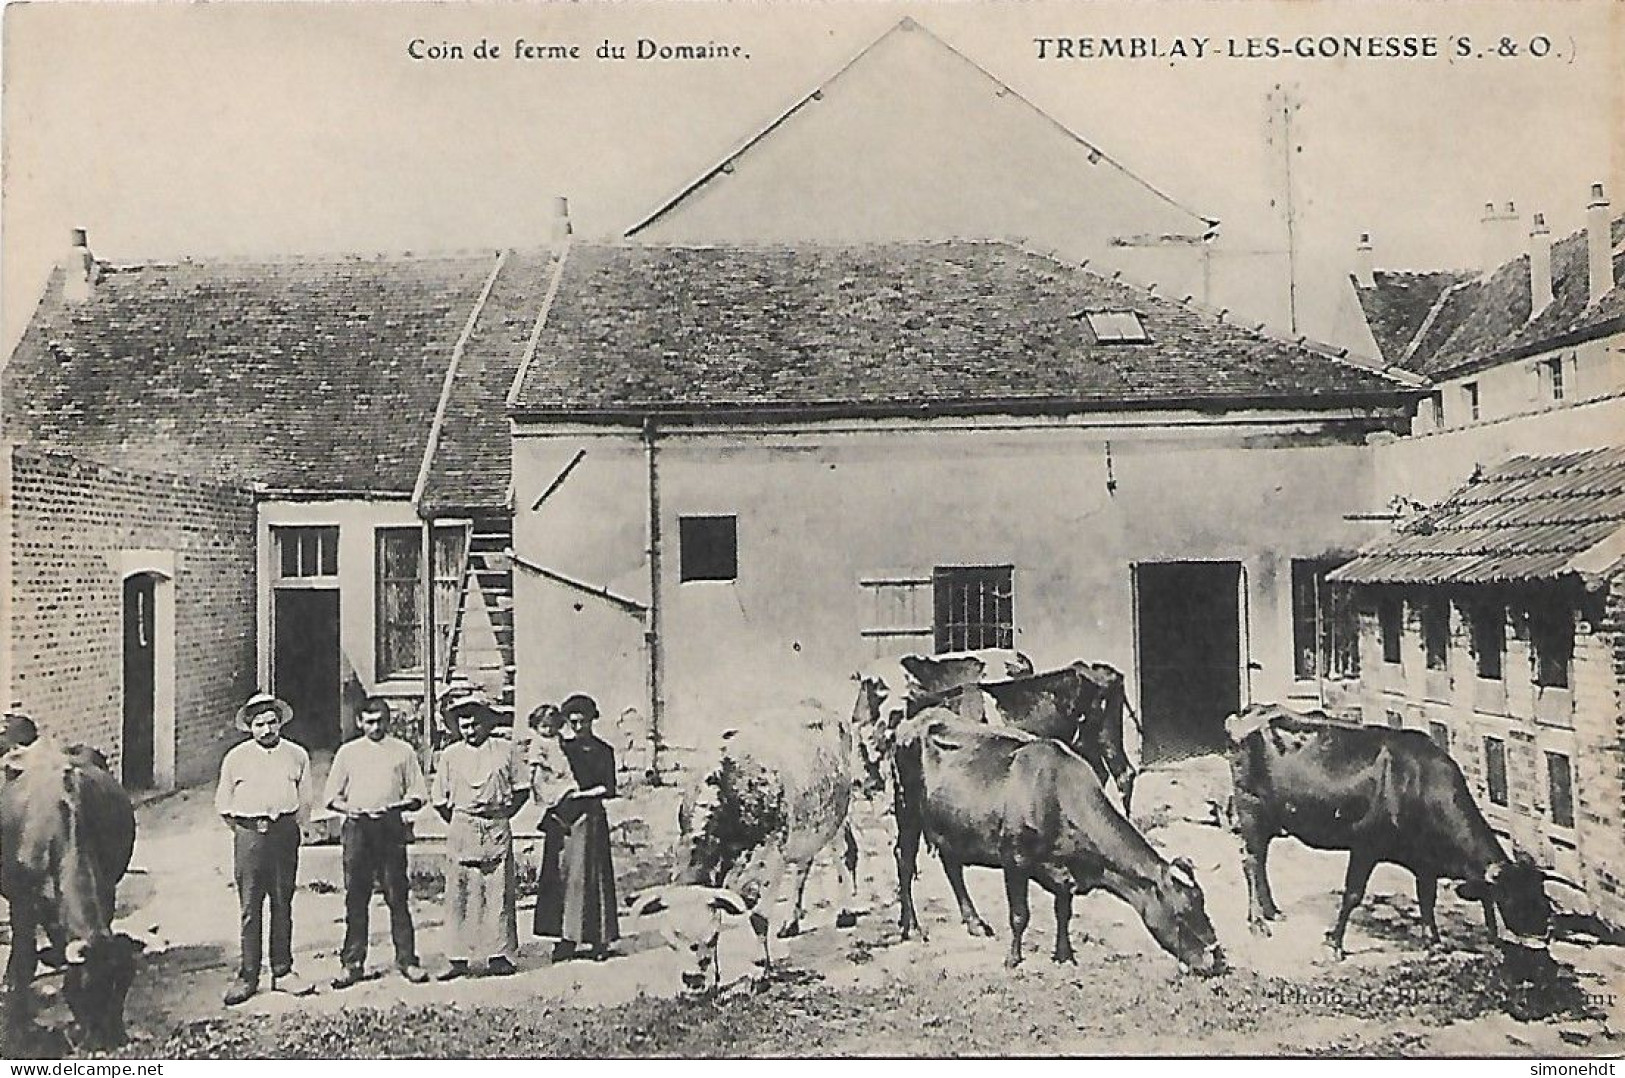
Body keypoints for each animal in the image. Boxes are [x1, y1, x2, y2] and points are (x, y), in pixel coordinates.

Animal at [1, 741, 141, 1047]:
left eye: (124, 986)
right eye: (86, 988)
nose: (111, 1041)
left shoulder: (106, 890)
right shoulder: (22, 900)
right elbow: (25, 956)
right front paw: (19, 1026)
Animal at [627, 695, 871, 988]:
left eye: (708, 937)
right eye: (672, 942)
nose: (692, 980)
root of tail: (818, 706)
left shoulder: (773, 863)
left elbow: (758, 918)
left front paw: (761, 971)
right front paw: (715, 979)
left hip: (836, 814)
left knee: (844, 853)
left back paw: (845, 912)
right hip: (804, 830)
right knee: (803, 867)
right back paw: (791, 922)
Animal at [864, 705, 1222, 975]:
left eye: (1204, 906)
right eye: (1182, 914)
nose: (1218, 960)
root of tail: (915, 719)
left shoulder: (1064, 871)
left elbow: (1063, 912)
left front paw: (1065, 955)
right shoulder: (1015, 859)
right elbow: (1020, 915)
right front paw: (1013, 959)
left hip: (952, 822)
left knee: (951, 863)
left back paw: (975, 923)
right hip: (907, 809)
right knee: (904, 860)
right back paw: (912, 927)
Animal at [1222, 705, 1553, 956]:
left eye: (1542, 896)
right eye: (1511, 899)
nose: (1544, 933)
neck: (1419, 785)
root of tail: (1249, 712)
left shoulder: (1426, 862)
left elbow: (1427, 898)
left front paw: (1433, 942)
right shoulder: (1365, 845)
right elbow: (1353, 894)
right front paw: (1335, 944)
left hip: (1270, 819)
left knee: (1260, 863)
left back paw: (1271, 911)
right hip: (1251, 809)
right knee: (1251, 861)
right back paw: (1258, 923)